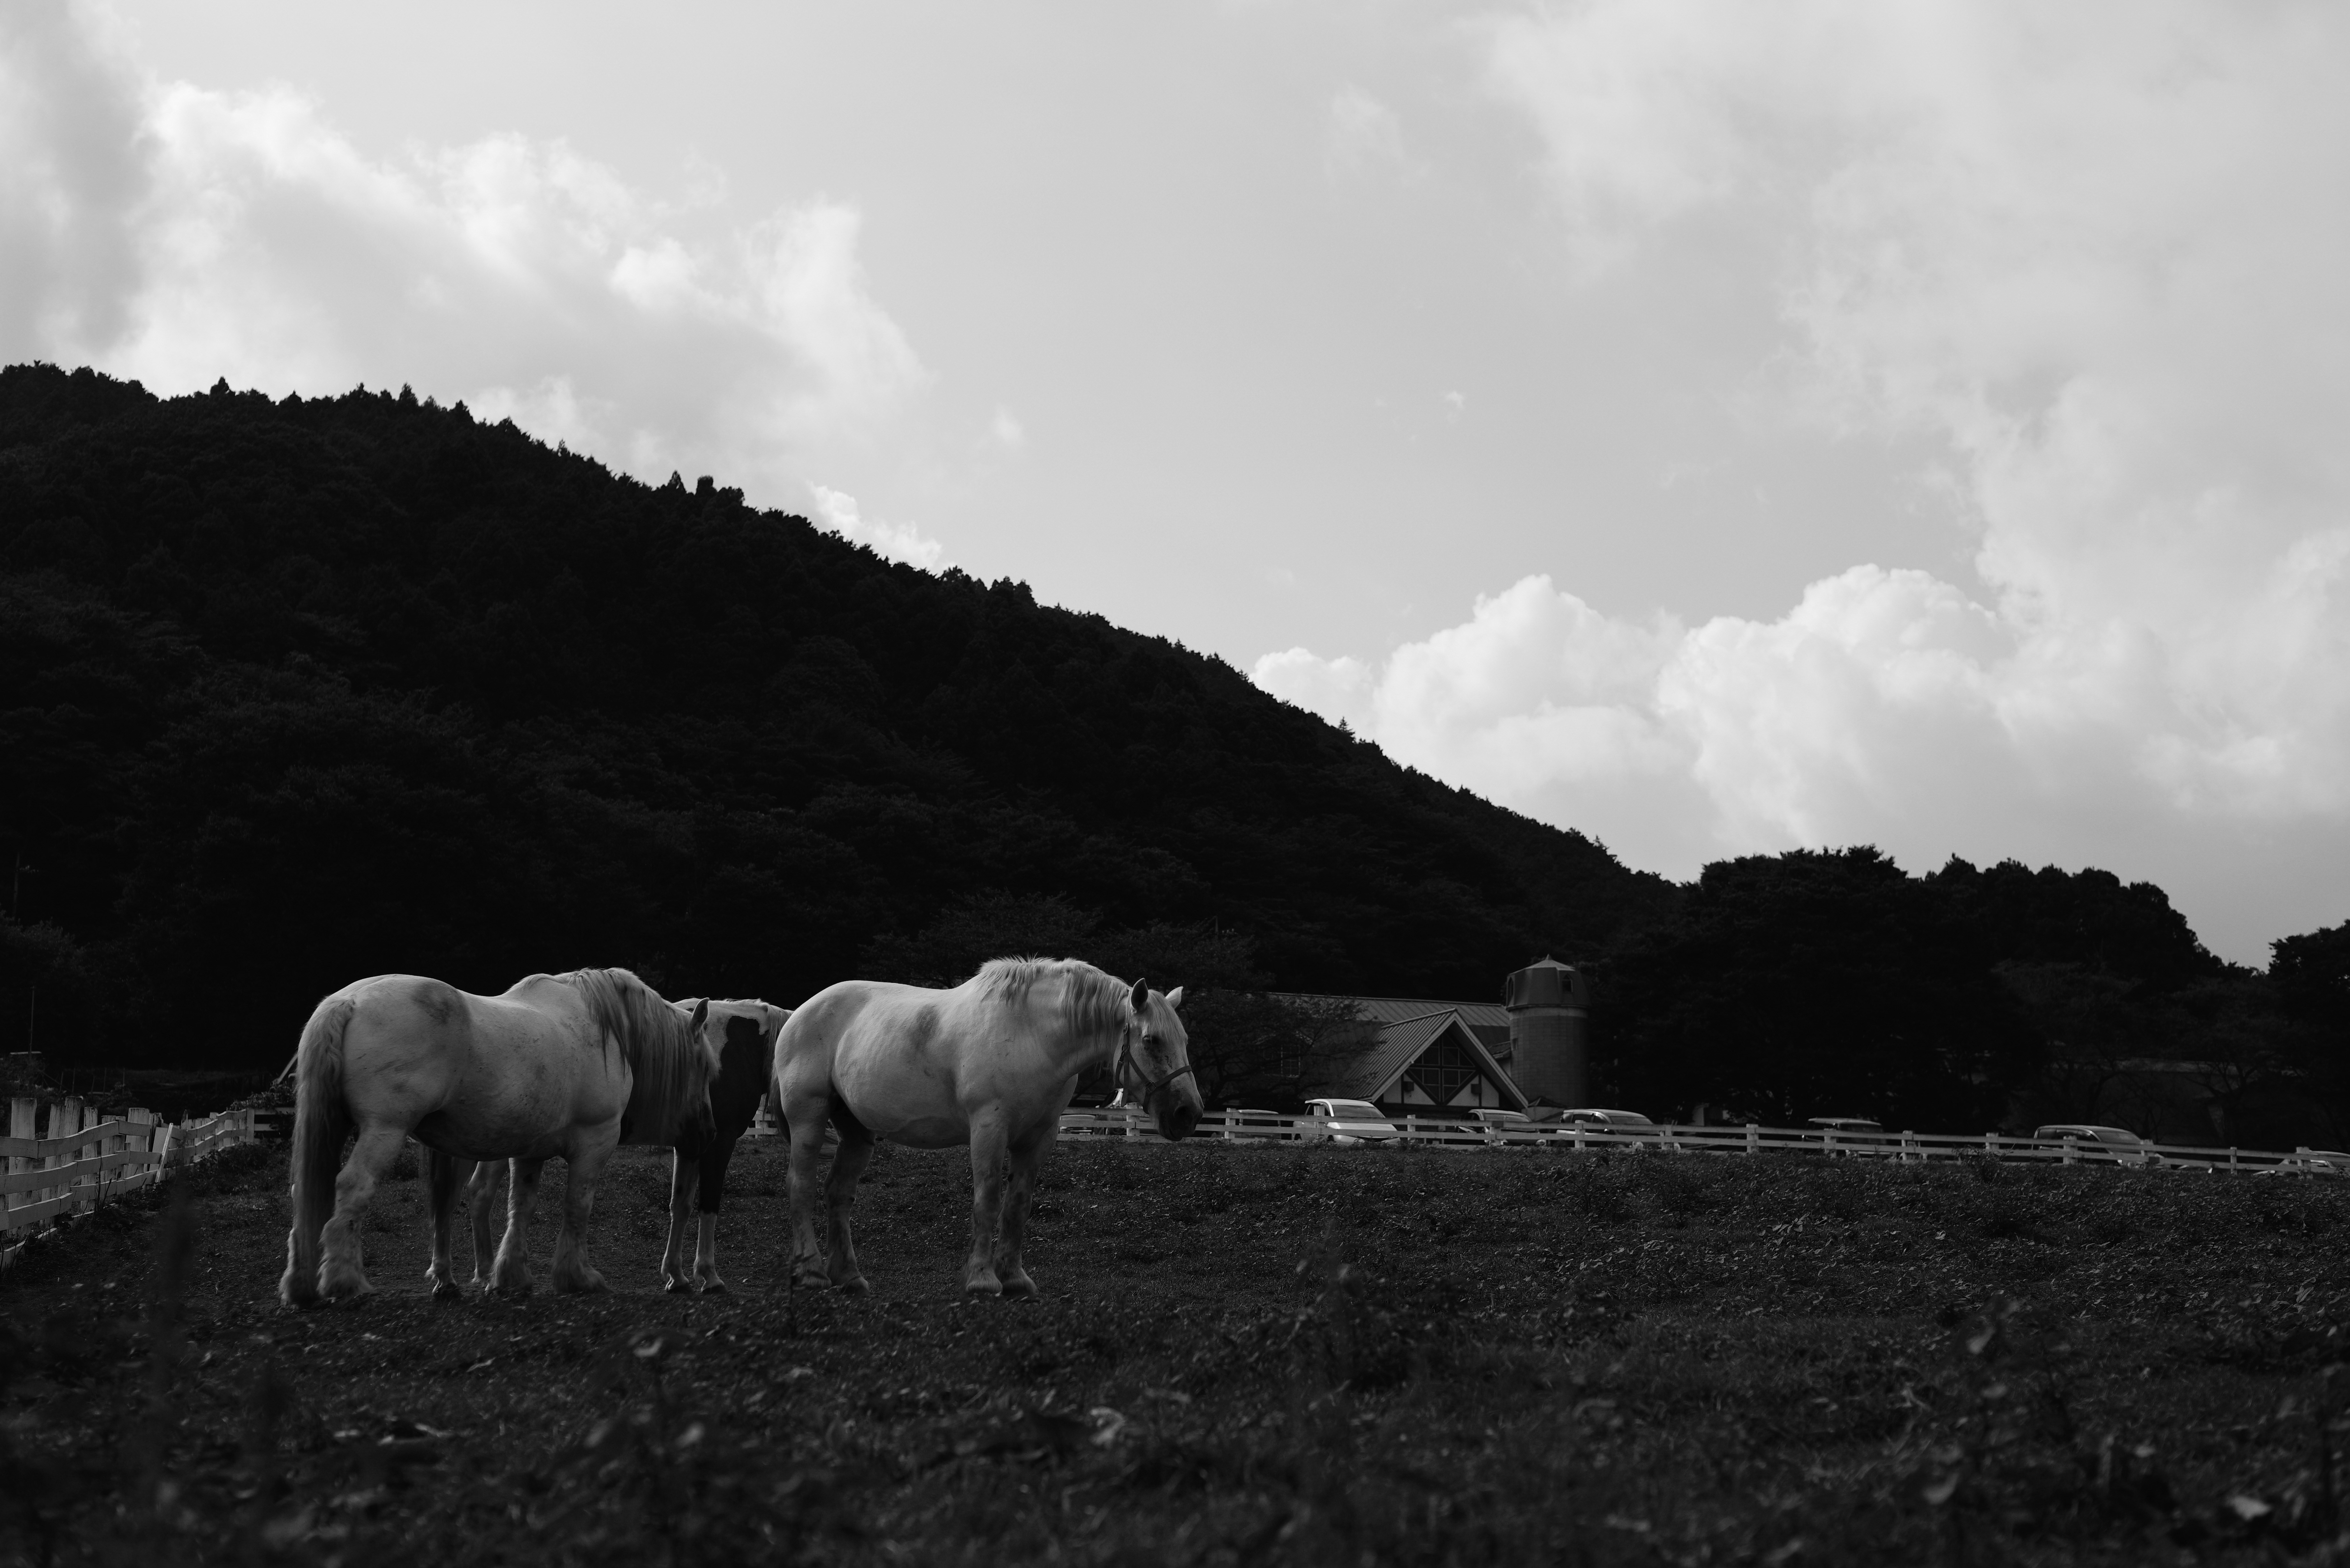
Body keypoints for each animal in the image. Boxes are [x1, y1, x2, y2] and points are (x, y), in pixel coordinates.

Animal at [277, 969, 714, 1316]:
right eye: (706, 1067)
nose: (708, 1130)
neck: (603, 1029)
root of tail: (348, 1001)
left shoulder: (531, 1151)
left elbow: (520, 1206)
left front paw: (511, 1276)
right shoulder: (595, 1142)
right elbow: (578, 1207)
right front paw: (578, 1277)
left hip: (335, 1127)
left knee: (306, 1191)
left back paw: (301, 1285)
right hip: (384, 1130)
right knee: (352, 1188)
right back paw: (346, 1281)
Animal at [775, 959, 1203, 1298]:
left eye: (1184, 1039)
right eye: (1150, 1040)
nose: (1189, 1113)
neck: (1033, 1035)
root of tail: (800, 1013)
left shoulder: (1039, 1137)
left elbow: (1018, 1205)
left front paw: (1014, 1278)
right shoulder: (988, 1128)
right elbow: (988, 1200)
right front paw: (982, 1279)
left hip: (858, 1133)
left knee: (838, 1193)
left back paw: (849, 1277)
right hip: (808, 1117)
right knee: (800, 1184)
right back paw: (811, 1272)